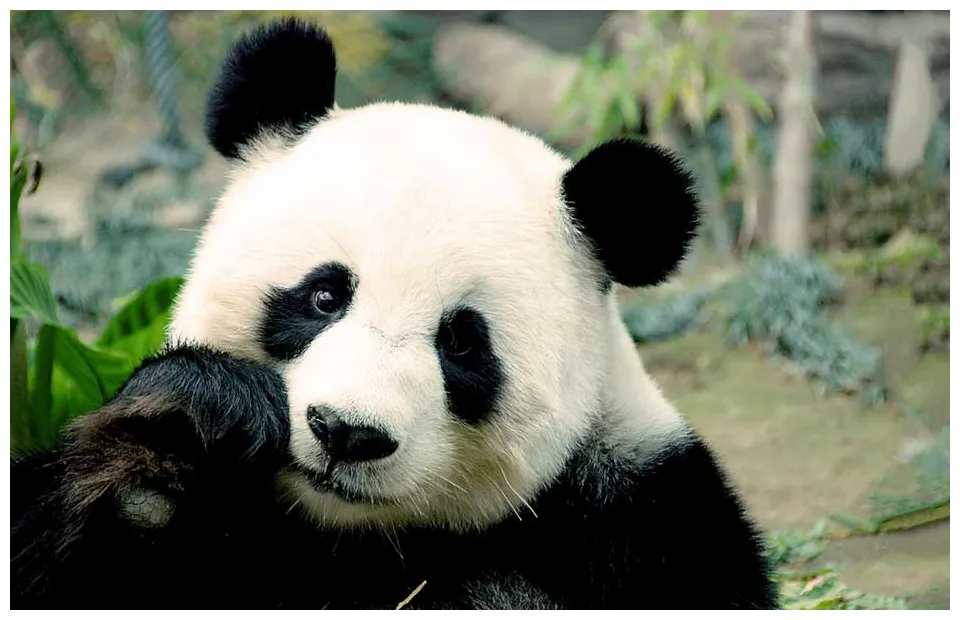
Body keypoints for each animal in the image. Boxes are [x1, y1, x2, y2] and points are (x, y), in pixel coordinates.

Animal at [11, 19, 778, 610]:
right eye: (325, 296)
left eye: (462, 343)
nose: (347, 433)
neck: (348, 534)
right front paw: (187, 430)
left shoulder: (643, 522)